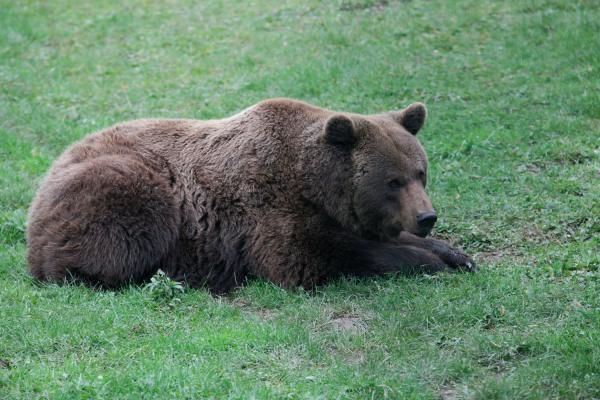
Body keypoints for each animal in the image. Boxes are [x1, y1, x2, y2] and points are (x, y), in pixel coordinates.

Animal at [27, 99, 474, 294]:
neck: (315, 184)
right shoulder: (267, 208)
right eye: (392, 182)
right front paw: (426, 260)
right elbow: (310, 256)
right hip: (127, 185)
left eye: (420, 173)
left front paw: (455, 254)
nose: (427, 216)